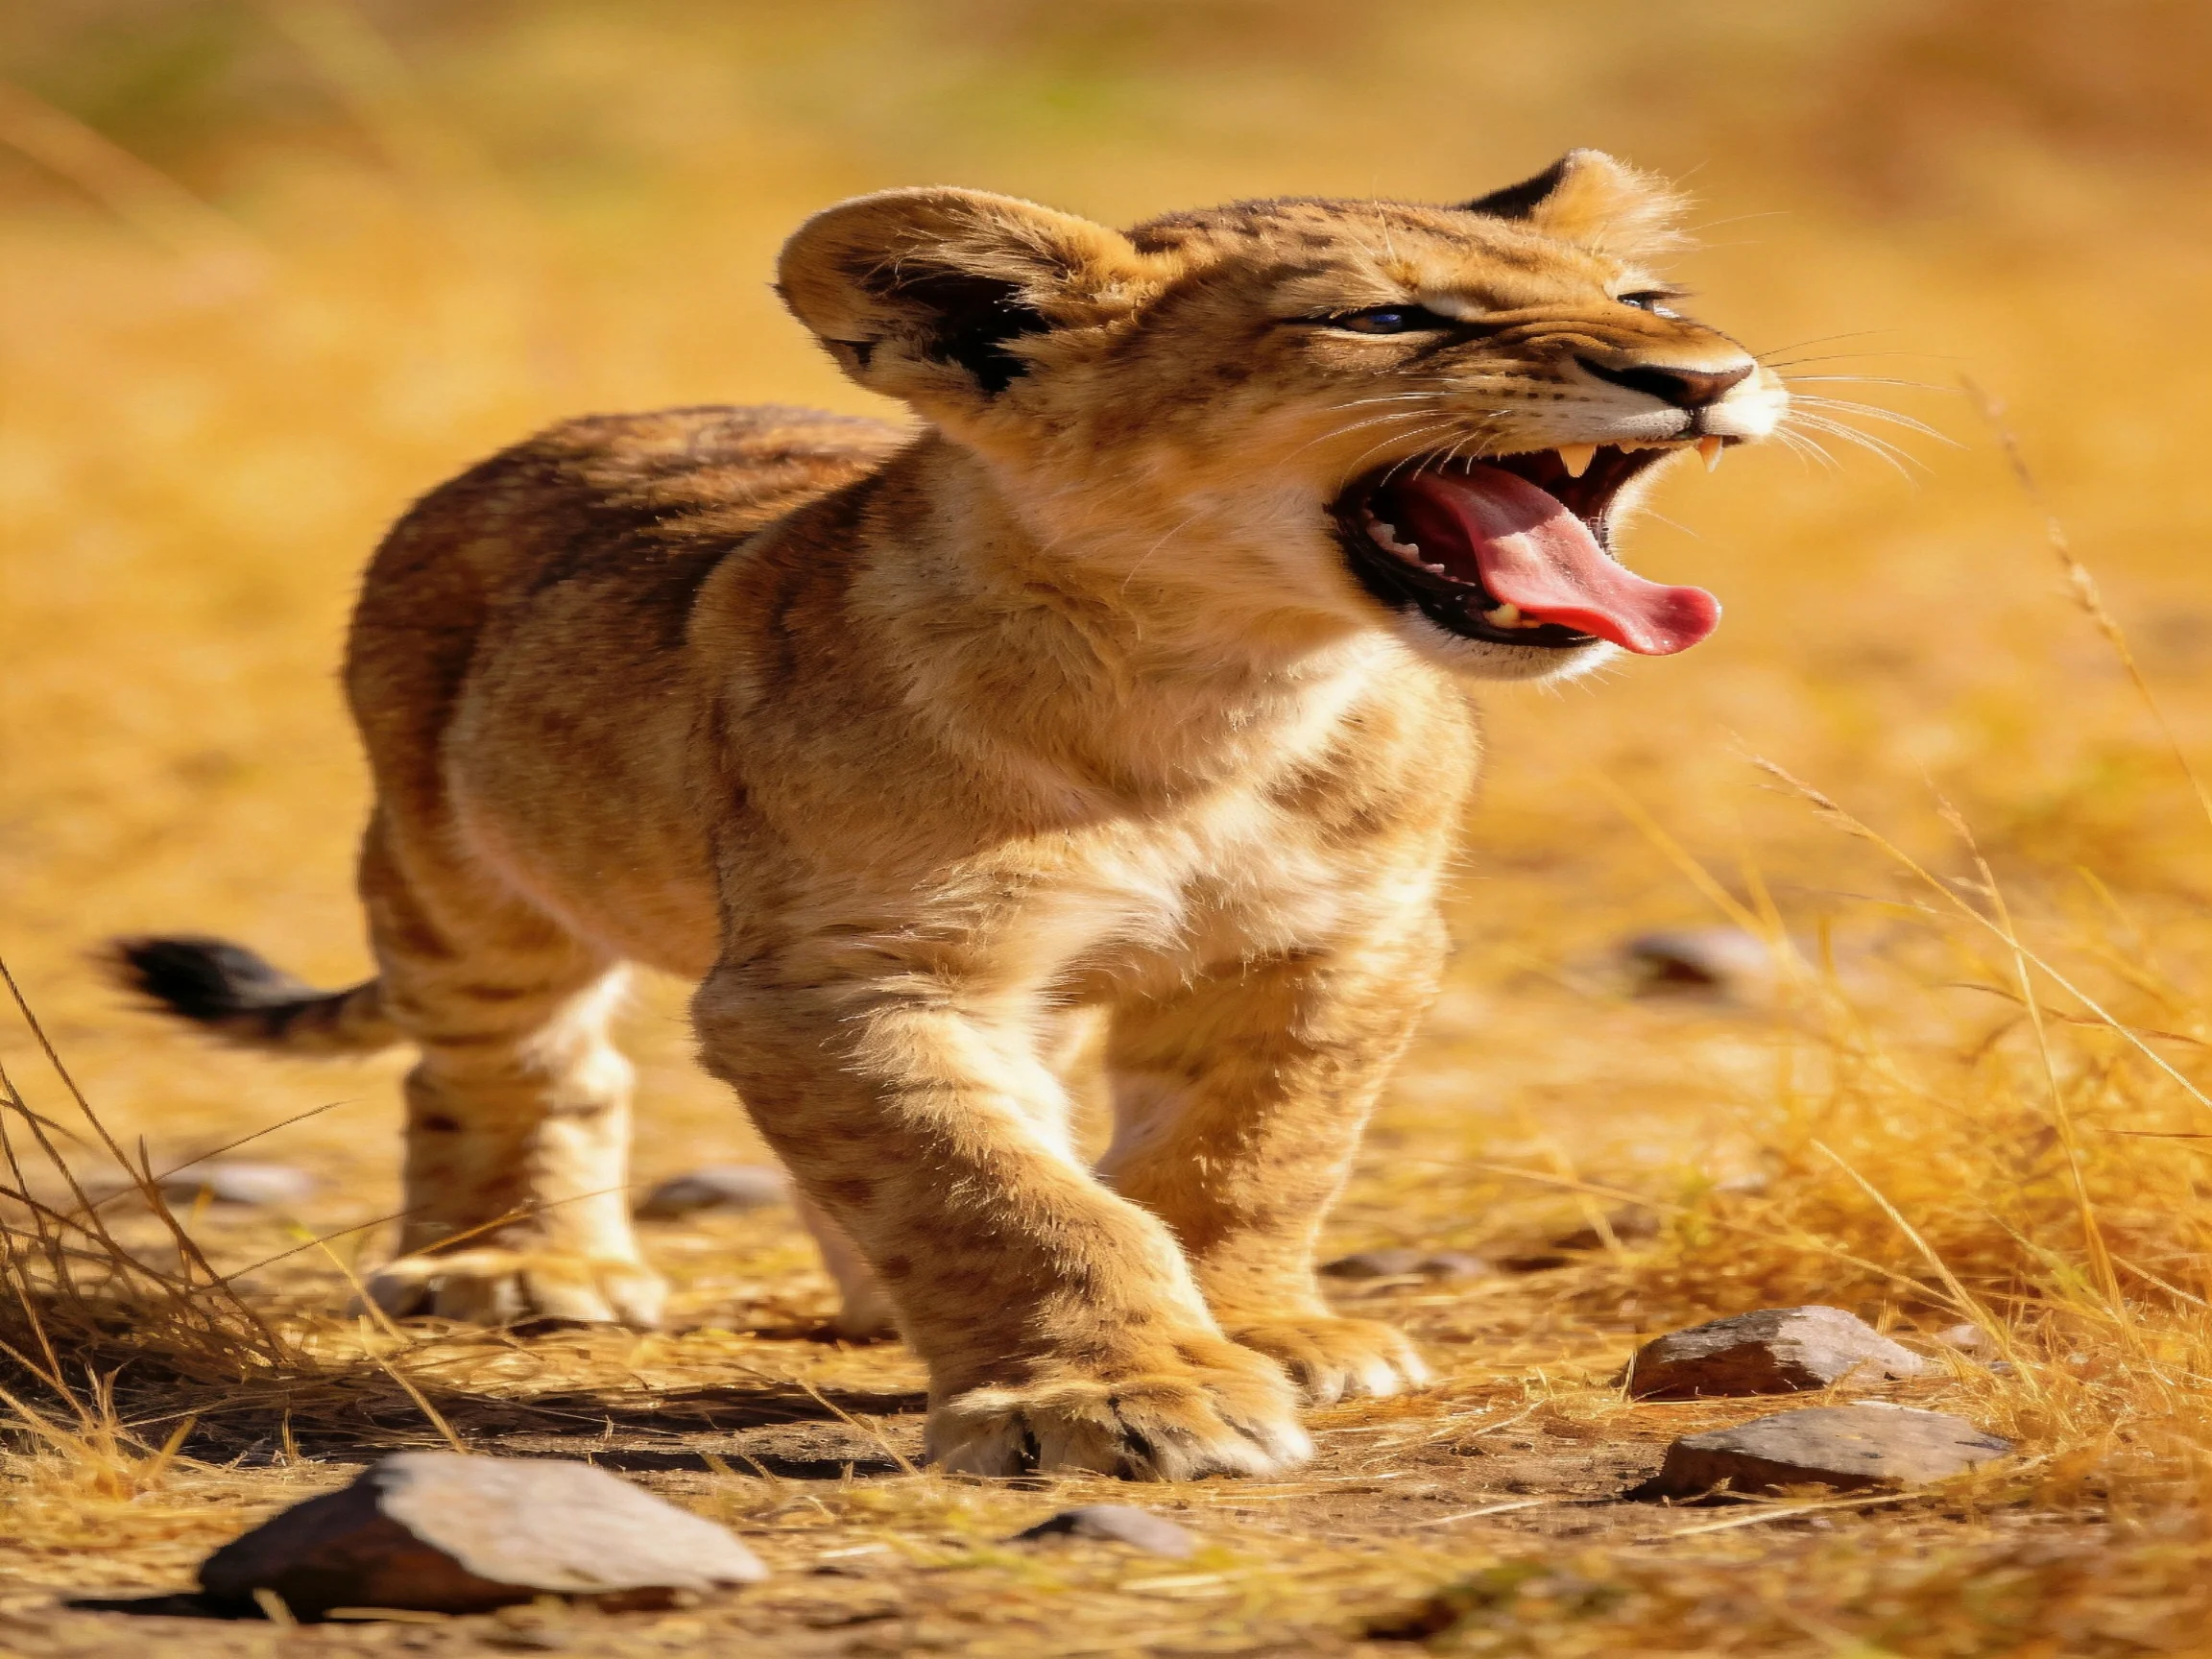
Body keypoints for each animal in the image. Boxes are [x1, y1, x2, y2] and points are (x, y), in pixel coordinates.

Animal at [112, 151, 1785, 1479]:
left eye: (1647, 294)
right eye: (1387, 320)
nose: (1705, 375)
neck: (1218, 690)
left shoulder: (1330, 946)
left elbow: (1244, 1157)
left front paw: (1267, 1332)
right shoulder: (845, 973)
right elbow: (1002, 1193)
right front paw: (1119, 1395)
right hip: (460, 874)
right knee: (511, 1064)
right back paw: (516, 1267)